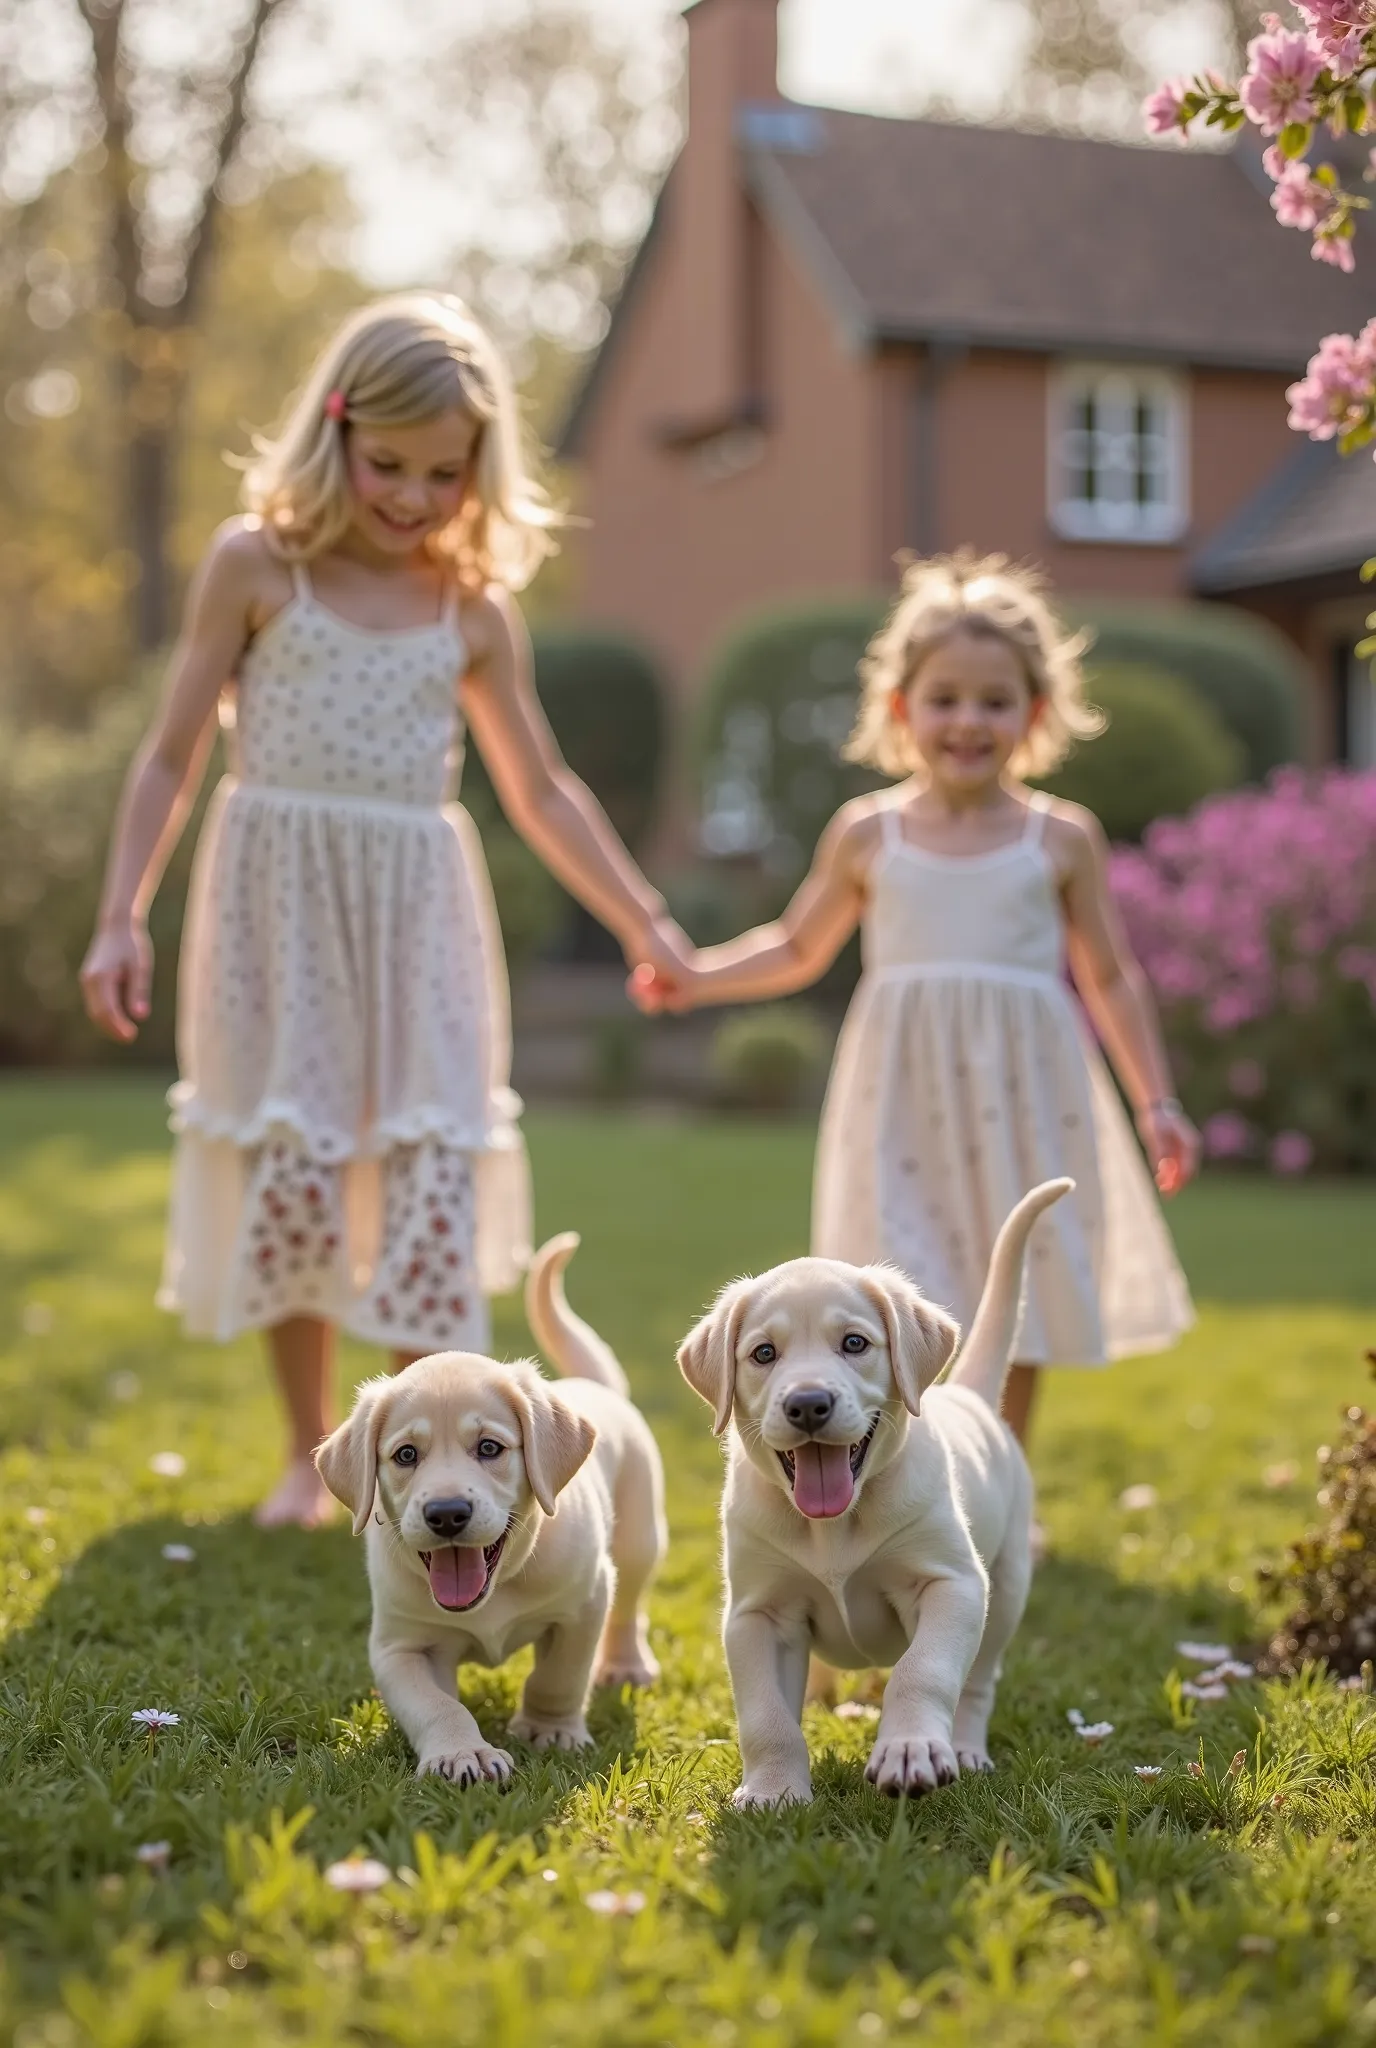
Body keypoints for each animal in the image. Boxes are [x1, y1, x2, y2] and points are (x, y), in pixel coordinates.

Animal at [319, 1236, 667, 1785]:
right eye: (405, 1455)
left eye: (489, 1448)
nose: (446, 1513)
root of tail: (592, 1386)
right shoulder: (400, 1647)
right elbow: (437, 1705)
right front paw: (463, 1753)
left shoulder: (584, 1604)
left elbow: (559, 1676)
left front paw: (551, 1730)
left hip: (639, 1541)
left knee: (630, 1608)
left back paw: (626, 1663)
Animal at [679, 1179, 1072, 1802]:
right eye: (764, 1353)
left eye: (855, 1343)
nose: (808, 1403)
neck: (835, 1525)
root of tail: (971, 1396)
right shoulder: (757, 1613)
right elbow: (765, 1716)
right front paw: (772, 1791)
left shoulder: (952, 1584)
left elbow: (921, 1671)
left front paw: (909, 1750)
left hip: (1006, 1589)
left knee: (978, 1682)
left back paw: (965, 1748)